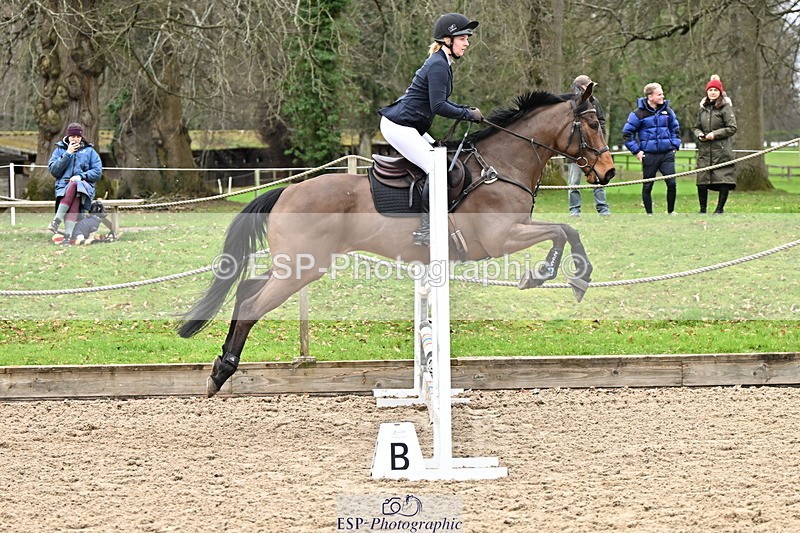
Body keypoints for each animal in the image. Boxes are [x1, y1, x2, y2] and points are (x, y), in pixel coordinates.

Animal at [178, 83, 616, 397]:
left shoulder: (513, 231)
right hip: (302, 268)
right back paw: (223, 370)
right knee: (252, 304)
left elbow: (567, 230)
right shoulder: (501, 238)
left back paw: (219, 369)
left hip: (294, 264)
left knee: (246, 289)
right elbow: (562, 231)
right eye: (594, 125)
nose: (609, 172)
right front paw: (556, 275)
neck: (501, 166)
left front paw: (565, 275)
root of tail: (286, 190)